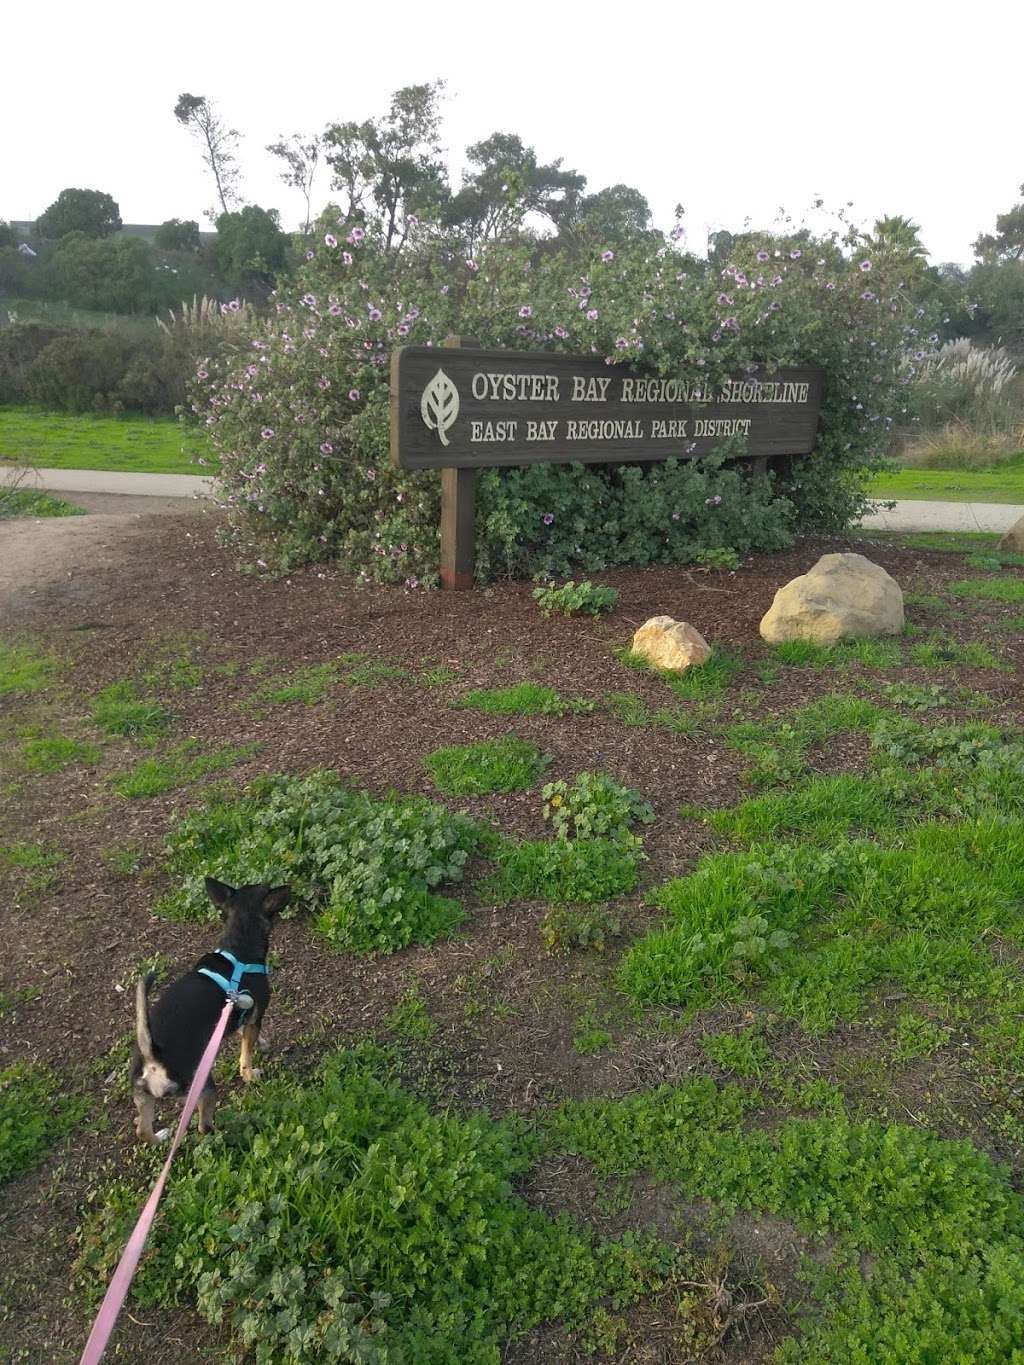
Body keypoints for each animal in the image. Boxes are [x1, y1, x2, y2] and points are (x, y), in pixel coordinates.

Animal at [129, 873, 289, 1141]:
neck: (238, 946)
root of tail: (152, 1055)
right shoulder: (255, 1015)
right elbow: (246, 1054)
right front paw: (250, 1073)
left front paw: (262, 1043)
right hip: (203, 1085)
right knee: (203, 1126)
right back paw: (223, 1132)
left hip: (144, 1096)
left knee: (143, 1129)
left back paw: (160, 1137)